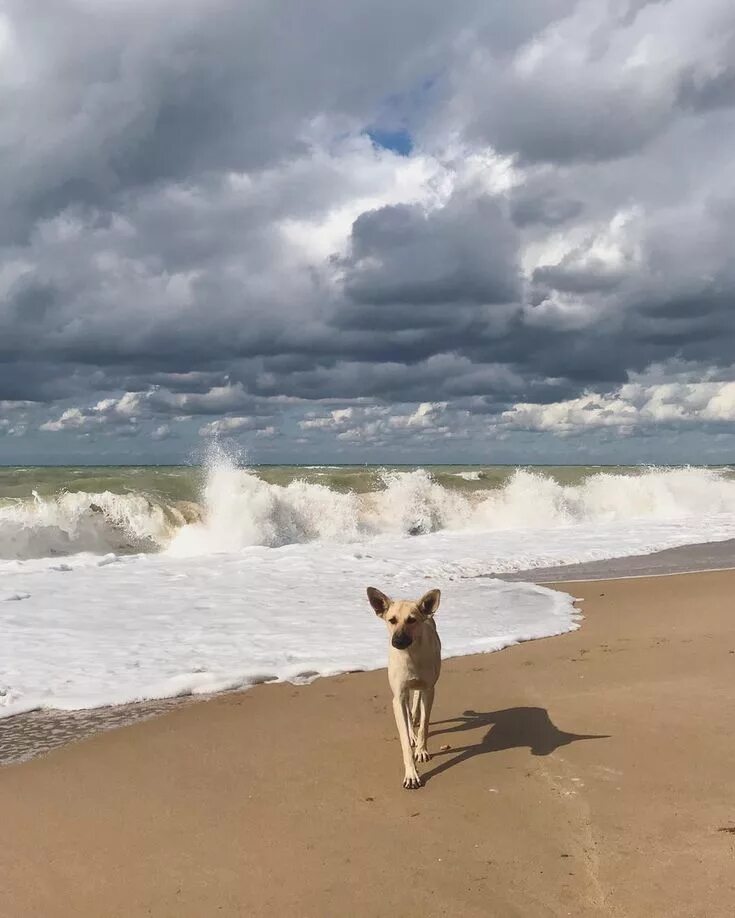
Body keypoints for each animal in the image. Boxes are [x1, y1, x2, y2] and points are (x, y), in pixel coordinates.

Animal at [368, 584, 442, 788]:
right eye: (392, 620)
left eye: (412, 620)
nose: (398, 641)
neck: (411, 655)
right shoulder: (398, 696)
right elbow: (404, 738)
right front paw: (411, 774)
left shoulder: (429, 690)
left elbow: (424, 724)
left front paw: (421, 750)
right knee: (408, 712)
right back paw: (411, 733)